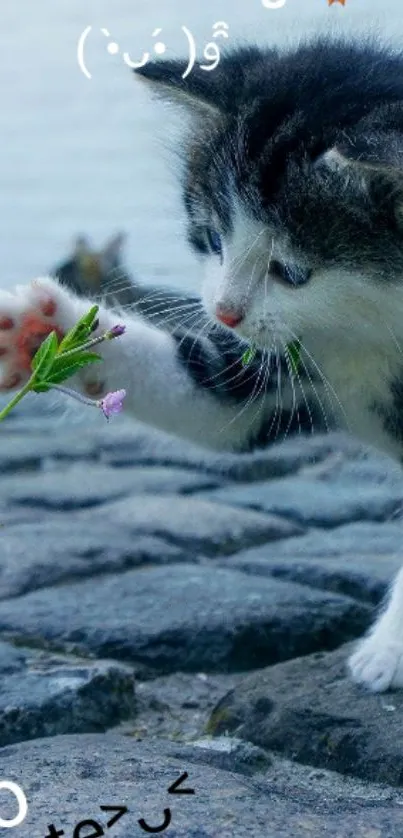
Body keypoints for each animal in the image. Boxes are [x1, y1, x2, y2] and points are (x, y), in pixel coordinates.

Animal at [3, 37, 403, 696]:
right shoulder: (290, 358)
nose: (223, 312)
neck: (372, 334)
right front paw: (42, 330)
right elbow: (218, 404)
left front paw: (389, 649)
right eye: (212, 238)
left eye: (292, 271)